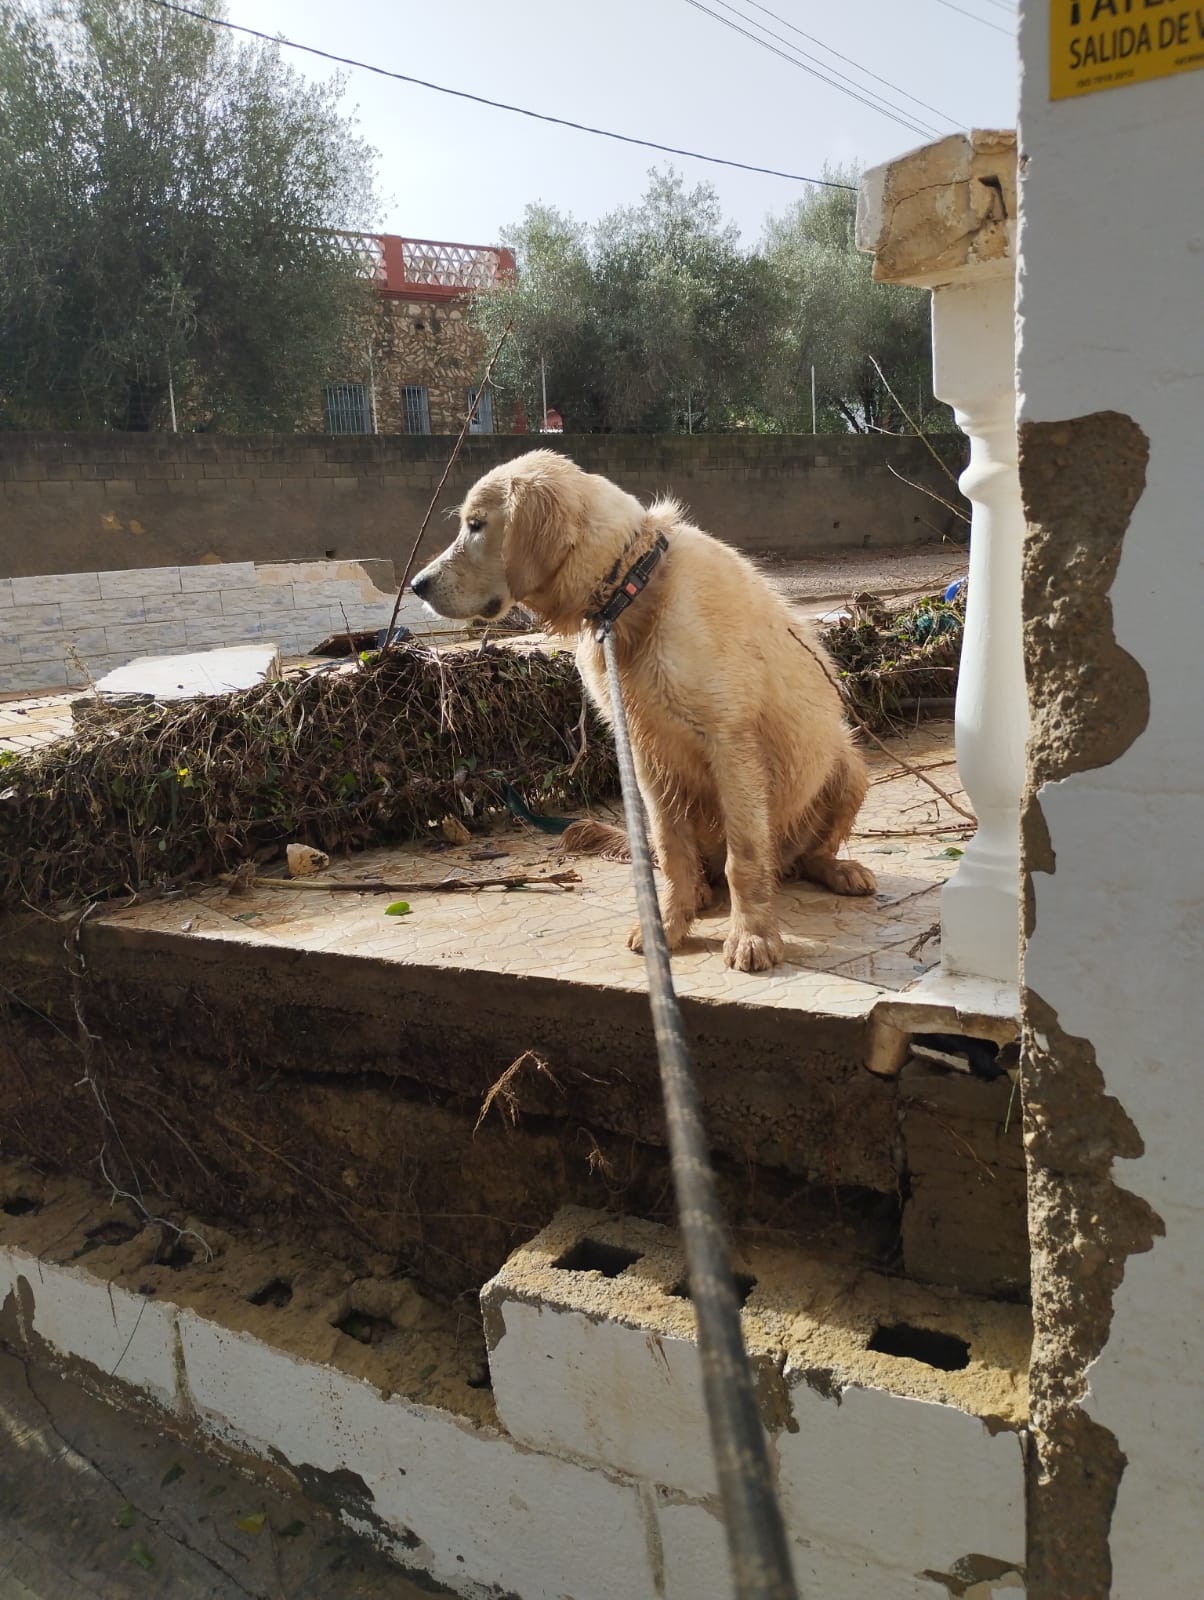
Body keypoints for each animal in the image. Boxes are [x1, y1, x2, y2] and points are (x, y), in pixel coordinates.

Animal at [413, 454, 877, 972]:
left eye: (475, 526)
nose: (416, 585)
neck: (631, 591)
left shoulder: (731, 744)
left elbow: (745, 855)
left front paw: (752, 936)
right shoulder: (648, 755)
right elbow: (672, 852)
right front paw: (669, 927)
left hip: (849, 763)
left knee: (802, 856)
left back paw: (839, 870)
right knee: (685, 862)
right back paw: (699, 894)